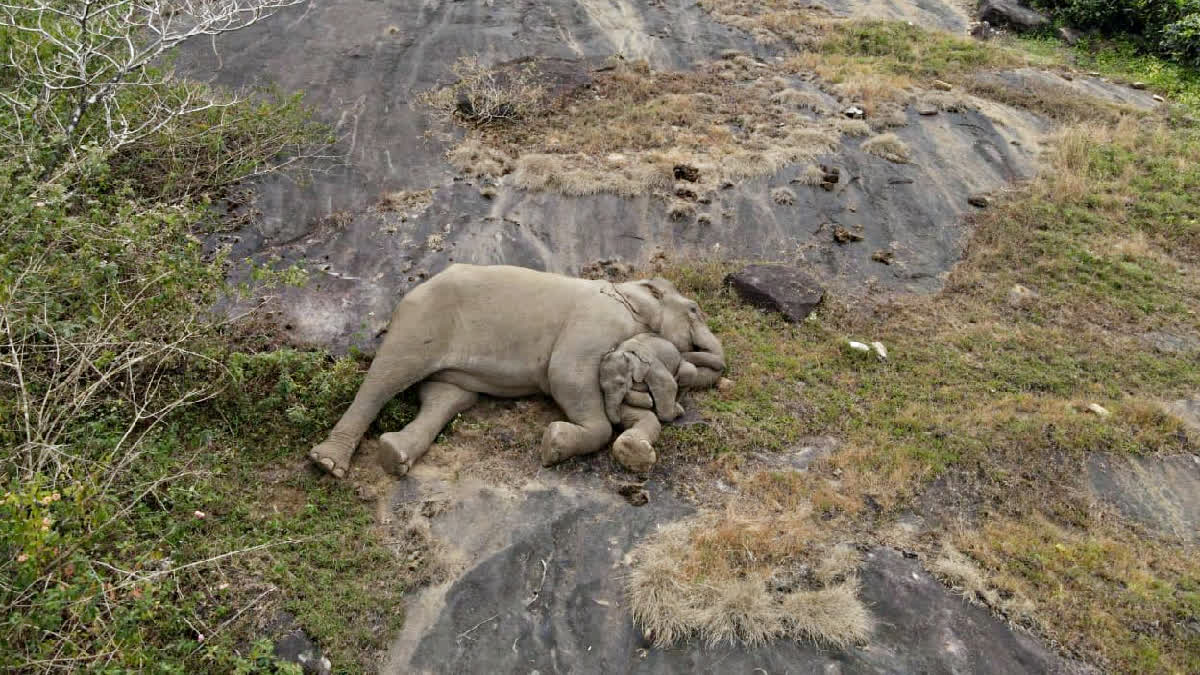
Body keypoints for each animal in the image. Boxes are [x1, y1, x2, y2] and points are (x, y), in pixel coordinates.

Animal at [309, 260, 720, 475]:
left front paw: (634, 446)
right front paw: (553, 444)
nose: (678, 409)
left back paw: (394, 455)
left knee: (446, 397)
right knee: (386, 377)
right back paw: (329, 464)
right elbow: (567, 375)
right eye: (694, 309)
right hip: (421, 322)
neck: (628, 289)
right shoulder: (596, 321)